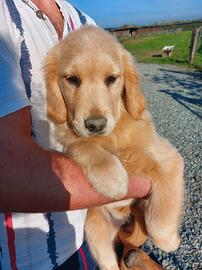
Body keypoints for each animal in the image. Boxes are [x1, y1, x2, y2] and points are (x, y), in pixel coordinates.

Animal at [45, 25, 184, 270]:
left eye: (111, 79)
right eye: (72, 79)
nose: (95, 125)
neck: (114, 134)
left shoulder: (168, 158)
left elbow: (160, 213)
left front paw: (168, 240)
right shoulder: (71, 141)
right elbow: (81, 145)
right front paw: (113, 179)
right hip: (96, 230)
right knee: (109, 261)